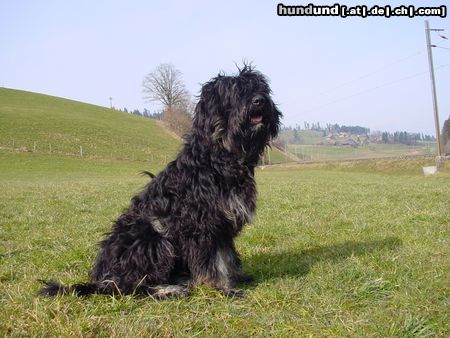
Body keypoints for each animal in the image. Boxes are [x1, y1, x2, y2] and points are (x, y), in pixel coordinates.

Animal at [40, 66, 284, 298]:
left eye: (259, 88)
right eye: (235, 92)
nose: (259, 100)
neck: (219, 157)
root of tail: (102, 279)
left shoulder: (222, 224)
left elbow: (227, 257)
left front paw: (235, 278)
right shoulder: (201, 225)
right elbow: (212, 263)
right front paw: (220, 288)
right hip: (154, 240)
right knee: (129, 286)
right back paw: (168, 290)